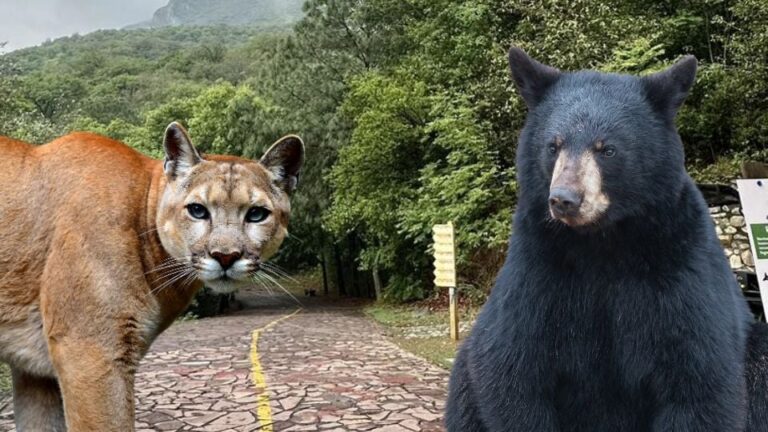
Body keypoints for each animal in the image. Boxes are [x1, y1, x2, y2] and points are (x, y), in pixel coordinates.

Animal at [445, 47, 768, 432]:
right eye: (553, 145)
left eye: (607, 149)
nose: (564, 199)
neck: (602, 242)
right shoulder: (537, 266)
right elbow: (512, 370)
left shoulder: (681, 264)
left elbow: (697, 380)